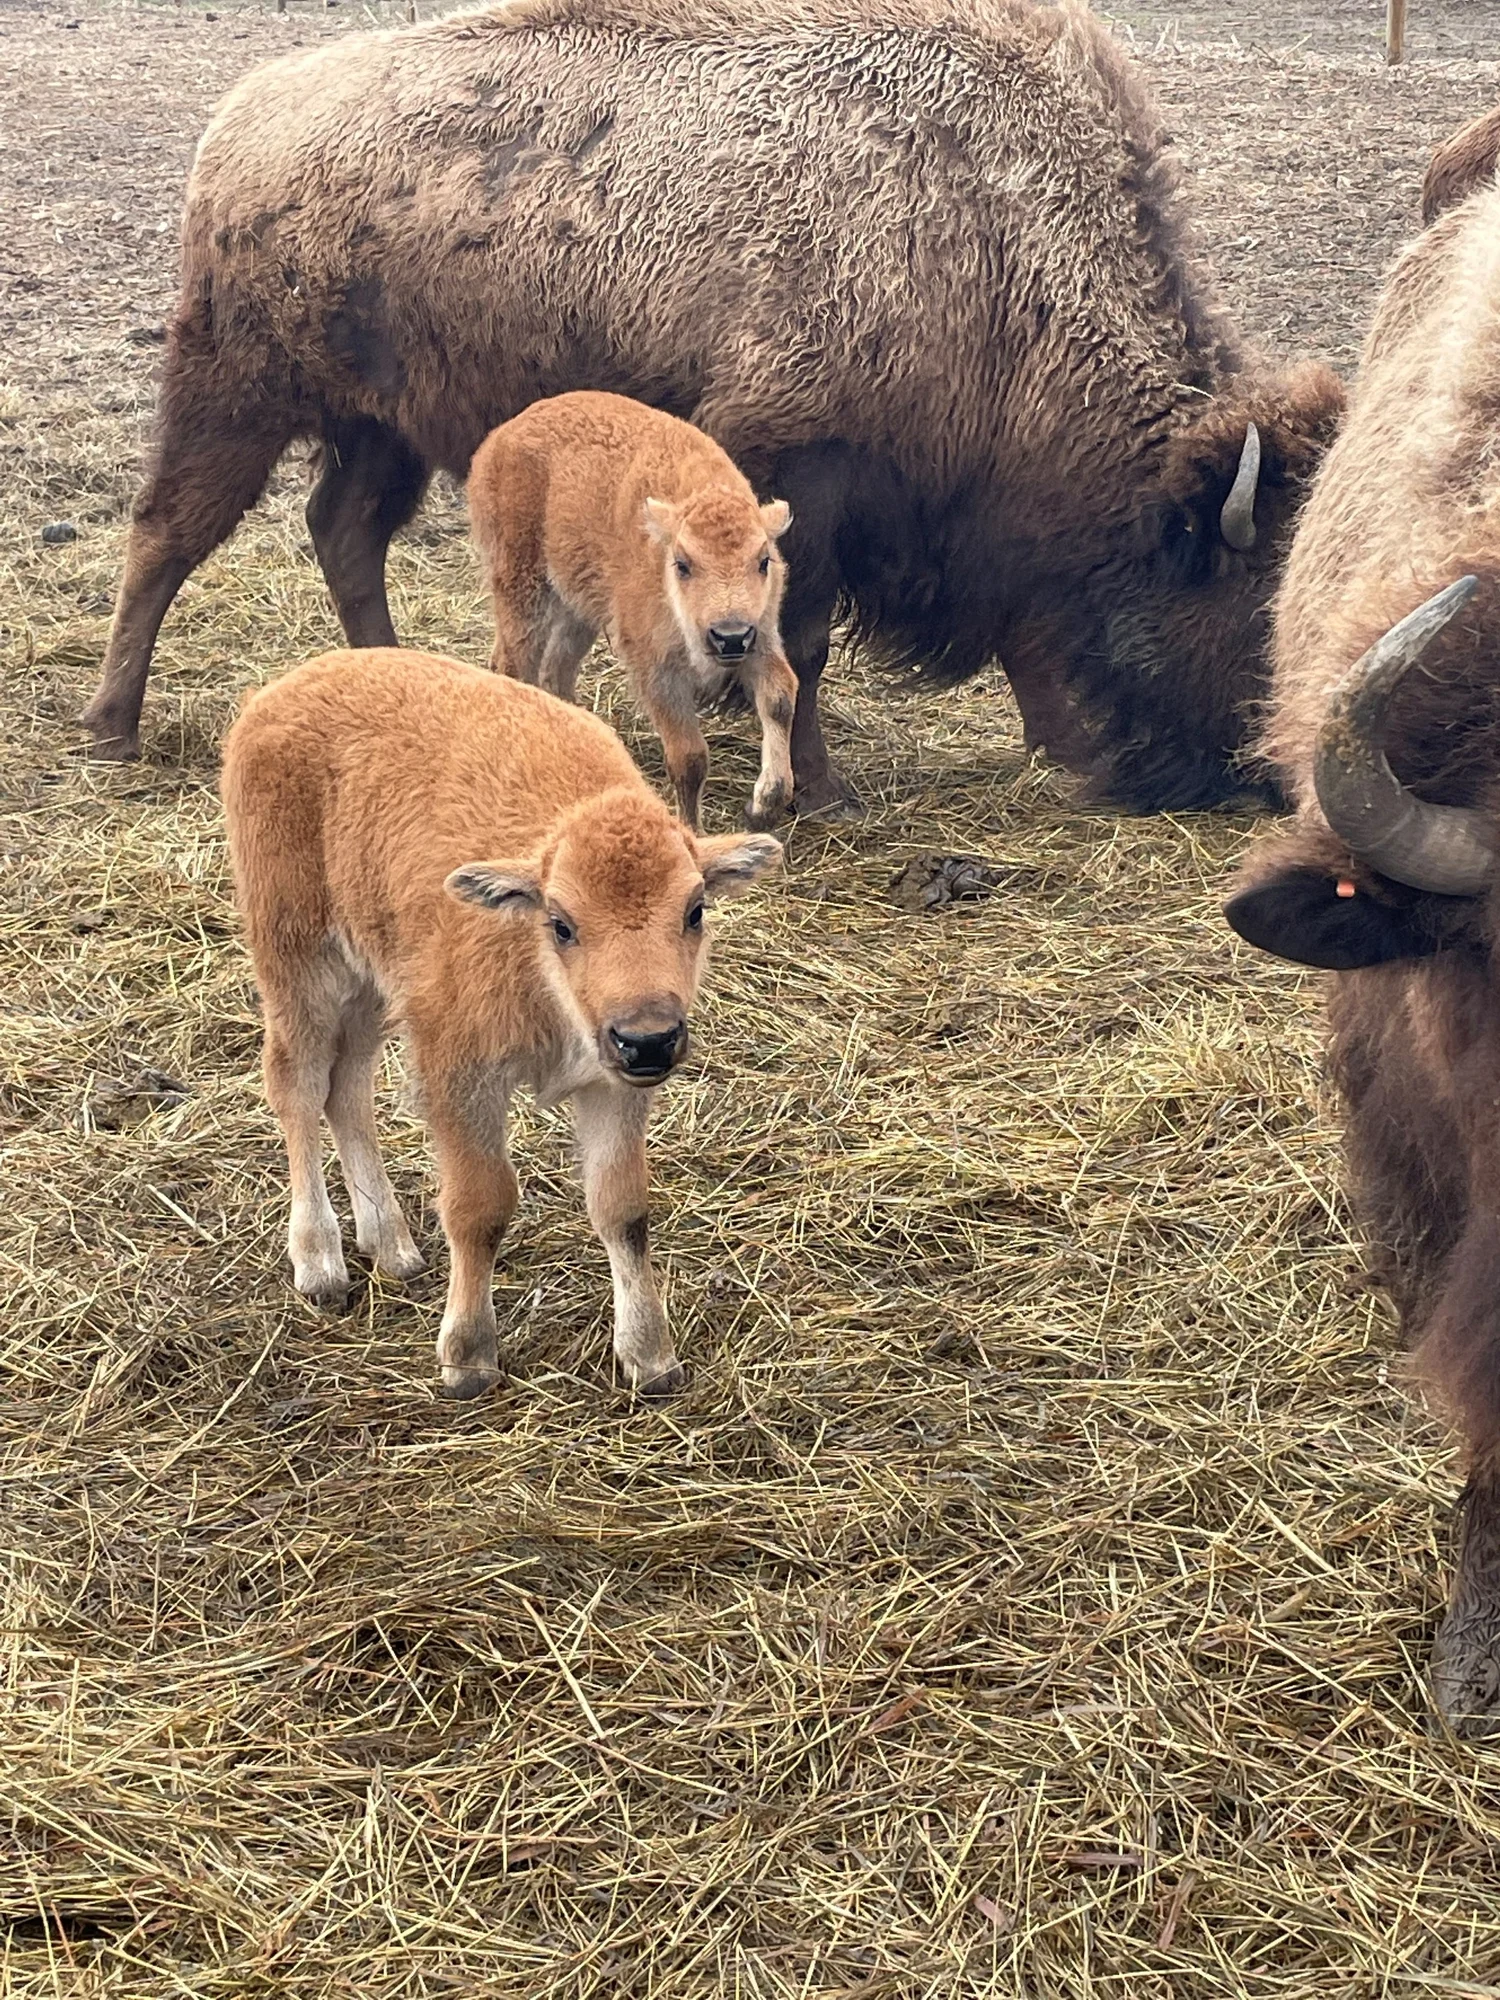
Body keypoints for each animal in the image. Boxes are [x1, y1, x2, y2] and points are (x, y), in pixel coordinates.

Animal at [85, 0, 1341, 814]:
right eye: (1251, 609)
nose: (1273, 787)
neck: (998, 241)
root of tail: (242, 115)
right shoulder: (807, 471)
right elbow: (808, 639)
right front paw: (821, 791)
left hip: (379, 428)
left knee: (344, 533)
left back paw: (397, 685)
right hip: (235, 392)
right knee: (167, 533)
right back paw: (111, 730)